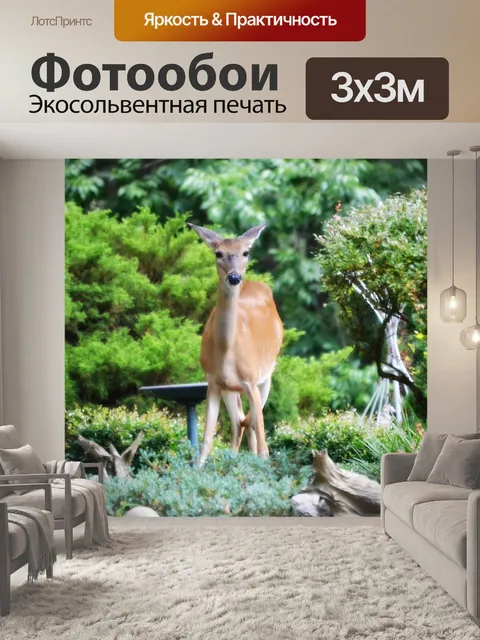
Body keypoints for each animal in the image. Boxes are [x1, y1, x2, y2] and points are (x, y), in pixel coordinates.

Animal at [187, 223, 283, 465]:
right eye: (218, 253)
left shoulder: (251, 380)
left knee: (251, 424)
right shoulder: (213, 381)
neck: (226, 349)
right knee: (240, 421)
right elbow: (206, 442)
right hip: (231, 388)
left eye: (246, 252)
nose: (234, 277)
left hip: (266, 375)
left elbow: (264, 444)